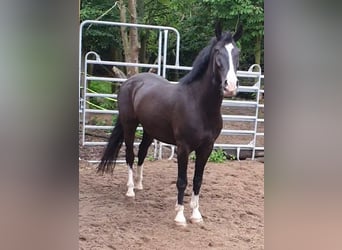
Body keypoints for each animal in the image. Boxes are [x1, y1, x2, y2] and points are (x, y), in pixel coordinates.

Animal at [98, 23, 243, 227]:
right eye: (217, 52)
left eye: (237, 52)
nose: (230, 86)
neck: (199, 104)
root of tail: (130, 82)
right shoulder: (183, 148)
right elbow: (182, 181)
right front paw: (180, 217)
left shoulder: (206, 148)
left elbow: (198, 180)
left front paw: (196, 215)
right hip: (130, 125)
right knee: (130, 155)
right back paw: (131, 190)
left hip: (150, 130)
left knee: (142, 153)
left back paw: (139, 185)